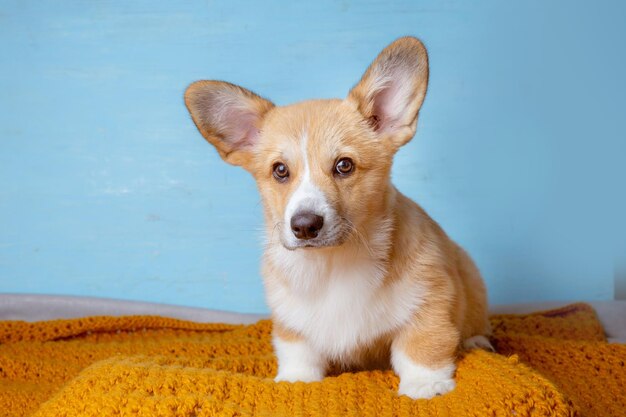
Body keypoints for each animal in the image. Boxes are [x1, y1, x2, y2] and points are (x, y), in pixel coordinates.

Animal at [183, 37, 490, 398]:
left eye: (344, 165)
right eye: (280, 170)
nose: (304, 226)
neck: (333, 263)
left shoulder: (429, 301)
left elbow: (421, 346)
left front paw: (424, 386)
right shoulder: (291, 320)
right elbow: (298, 351)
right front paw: (296, 380)